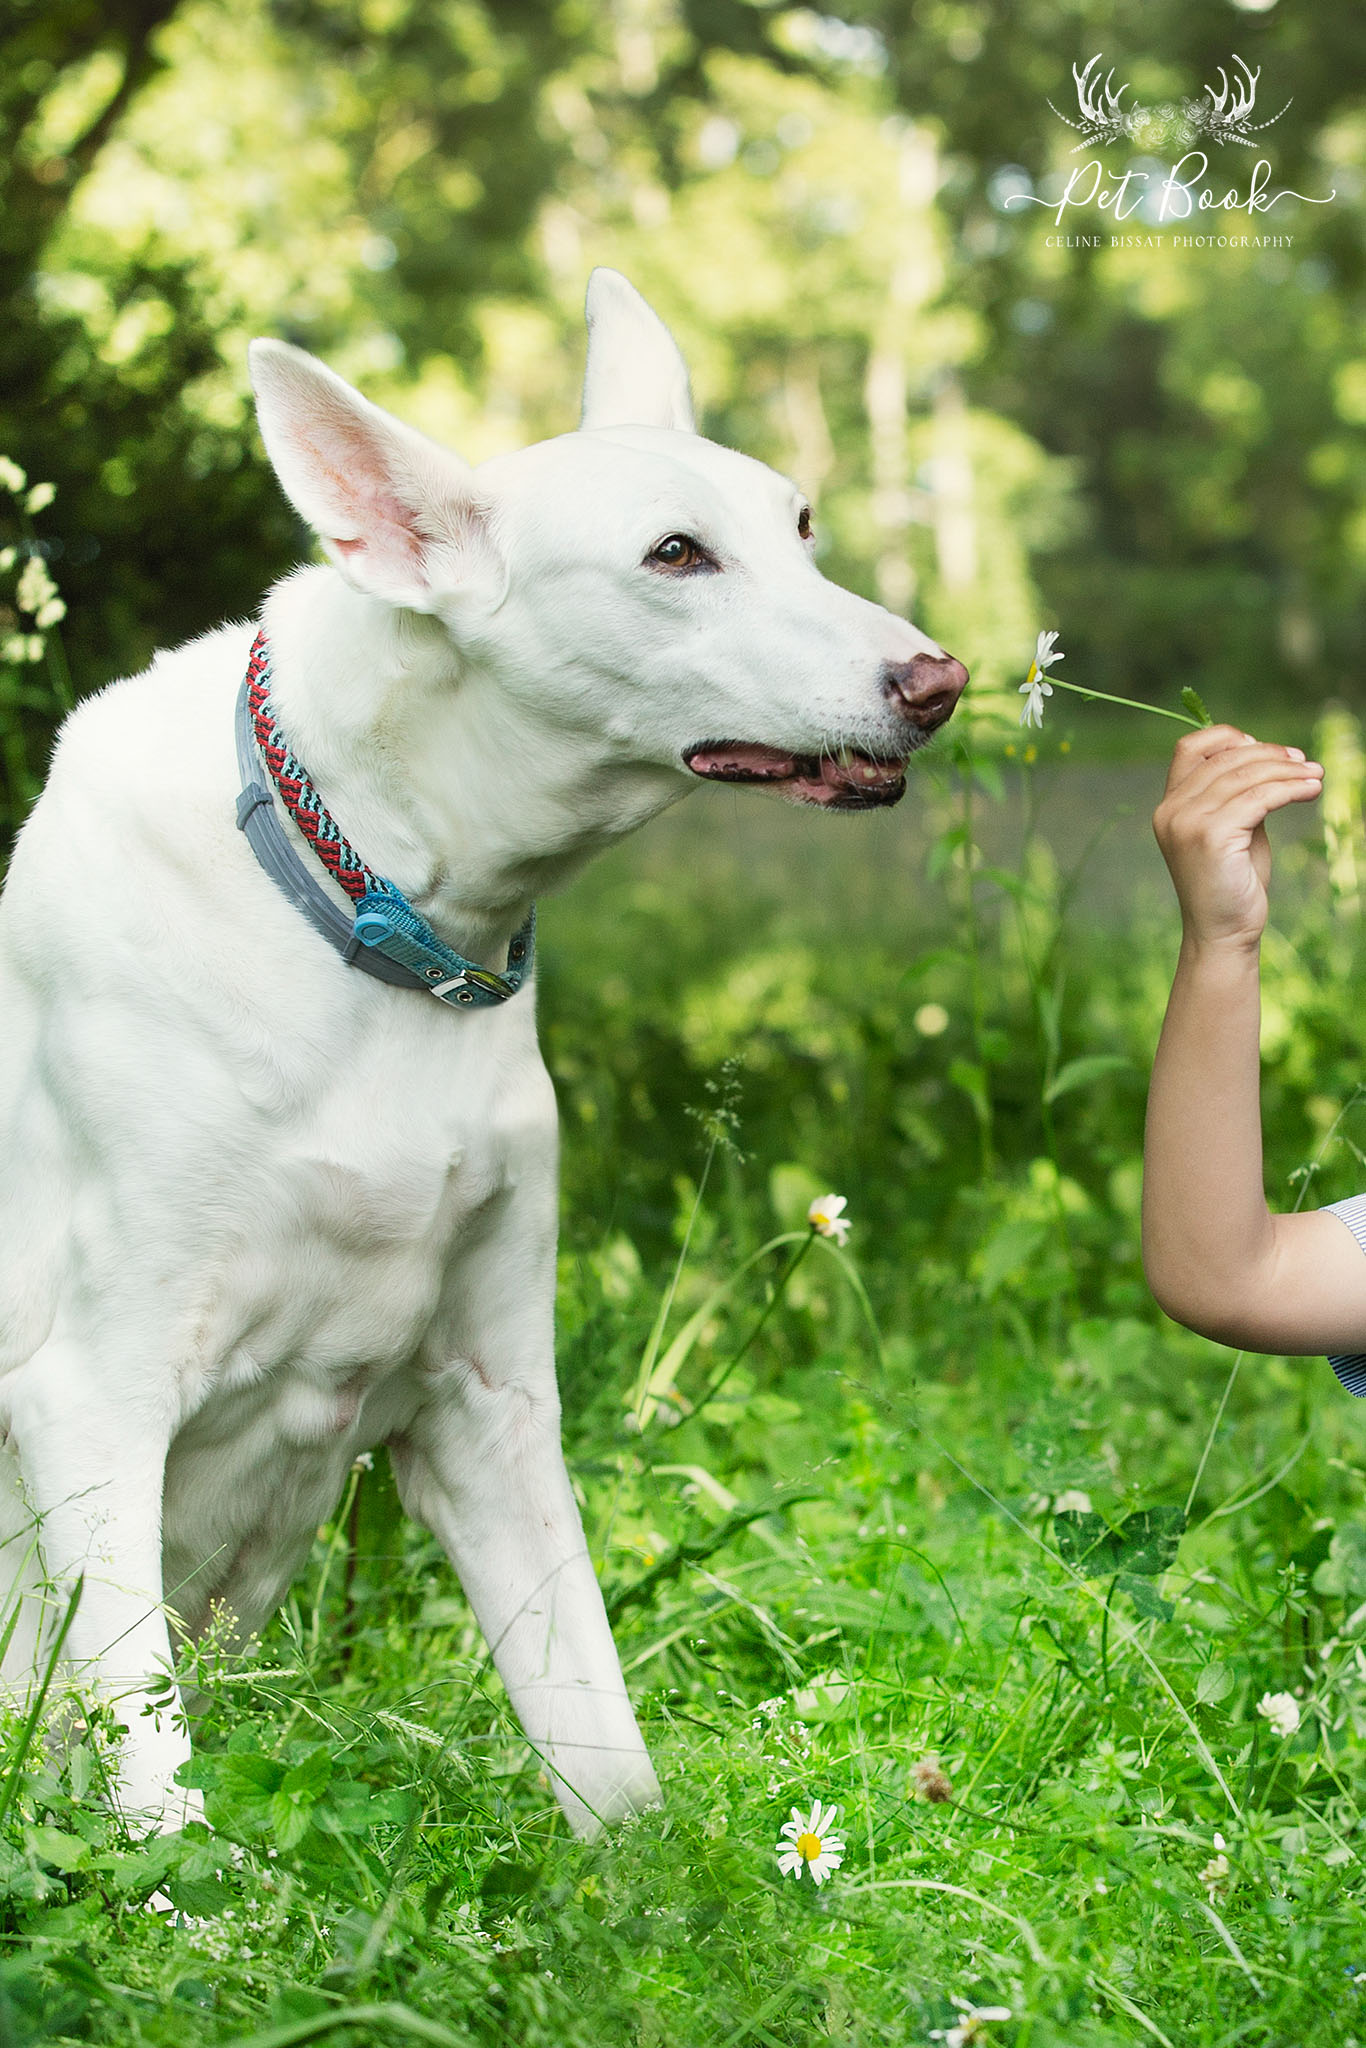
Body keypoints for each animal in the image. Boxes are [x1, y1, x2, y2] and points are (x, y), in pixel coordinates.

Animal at [0, 276, 962, 1843]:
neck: (375, 917)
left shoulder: (491, 1401)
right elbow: (156, 1785)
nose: (938, 681)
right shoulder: (93, 1395)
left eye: (802, 523)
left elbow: (600, 1734)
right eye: (675, 553)